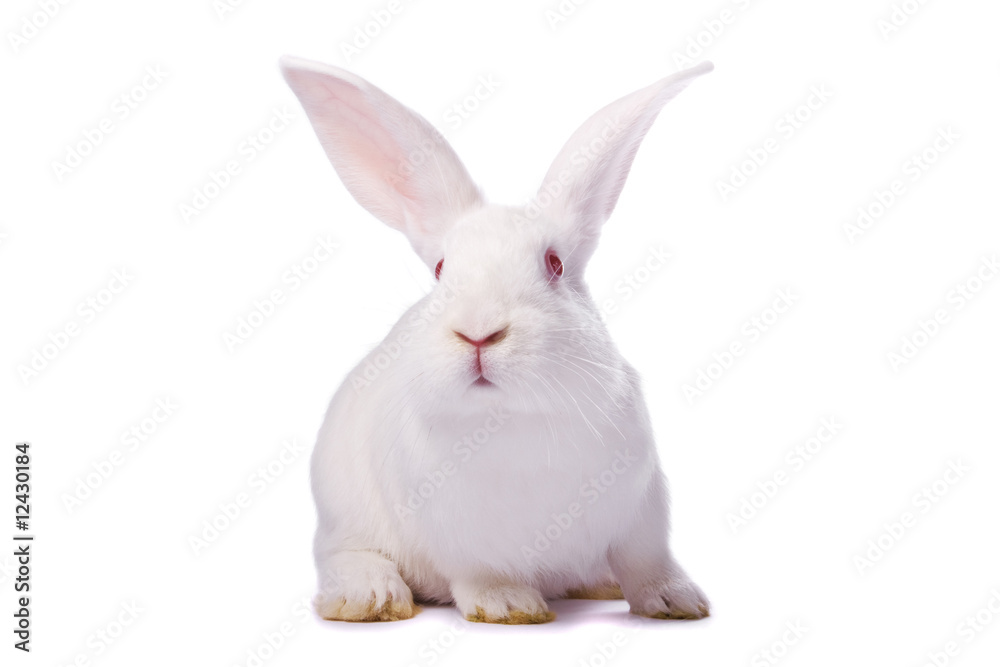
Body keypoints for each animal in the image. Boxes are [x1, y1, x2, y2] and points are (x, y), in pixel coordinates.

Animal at [281, 55, 713, 624]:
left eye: (554, 264)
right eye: (441, 269)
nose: (479, 332)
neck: (511, 421)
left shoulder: (642, 507)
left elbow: (648, 561)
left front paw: (677, 601)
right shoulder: (457, 535)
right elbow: (483, 574)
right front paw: (510, 607)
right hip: (342, 510)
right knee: (343, 554)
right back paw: (370, 598)